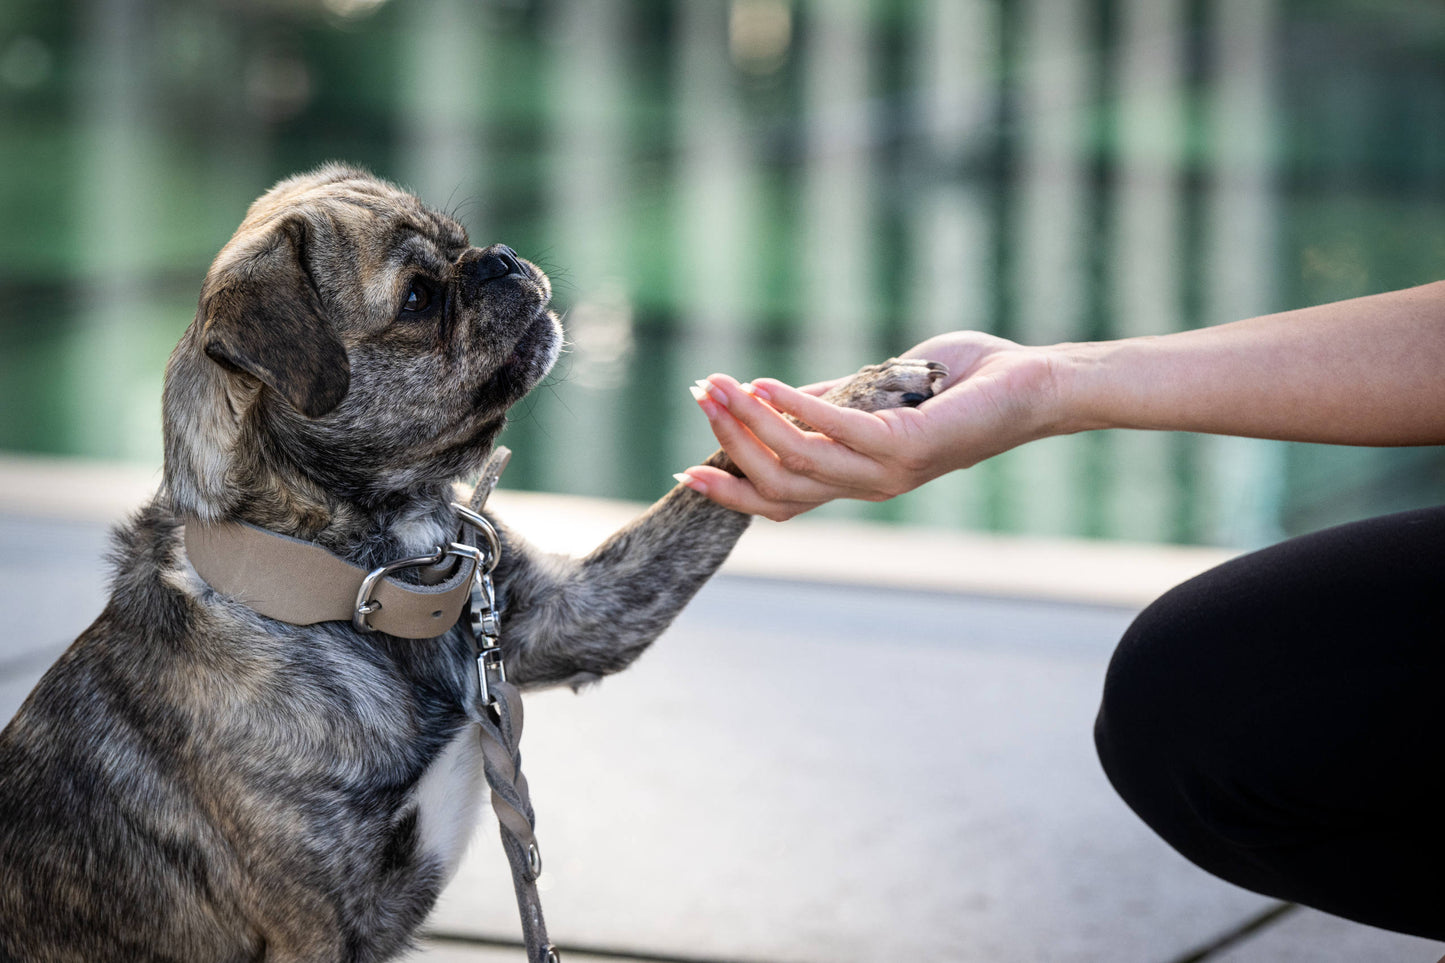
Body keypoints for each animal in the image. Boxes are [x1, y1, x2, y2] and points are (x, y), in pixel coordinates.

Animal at [0, 167, 947, 960]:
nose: (497, 260)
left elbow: (711, 491)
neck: (370, 580)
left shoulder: (582, 610)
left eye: (461, 244)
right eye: (419, 297)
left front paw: (857, 392)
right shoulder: (315, 934)